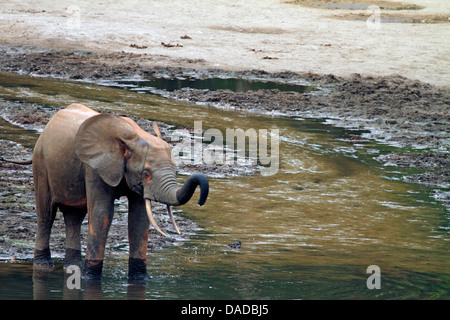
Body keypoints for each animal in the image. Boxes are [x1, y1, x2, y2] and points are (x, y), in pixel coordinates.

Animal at [30, 104, 210, 278]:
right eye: (145, 173)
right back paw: (44, 266)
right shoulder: (95, 168)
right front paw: (90, 278)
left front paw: (139, 278)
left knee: (74, 216)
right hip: (40, 161)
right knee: (46, 214)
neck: (134, 139)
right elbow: (102, 213)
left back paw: (73, 268)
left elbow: (139, 218)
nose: (201, 201)